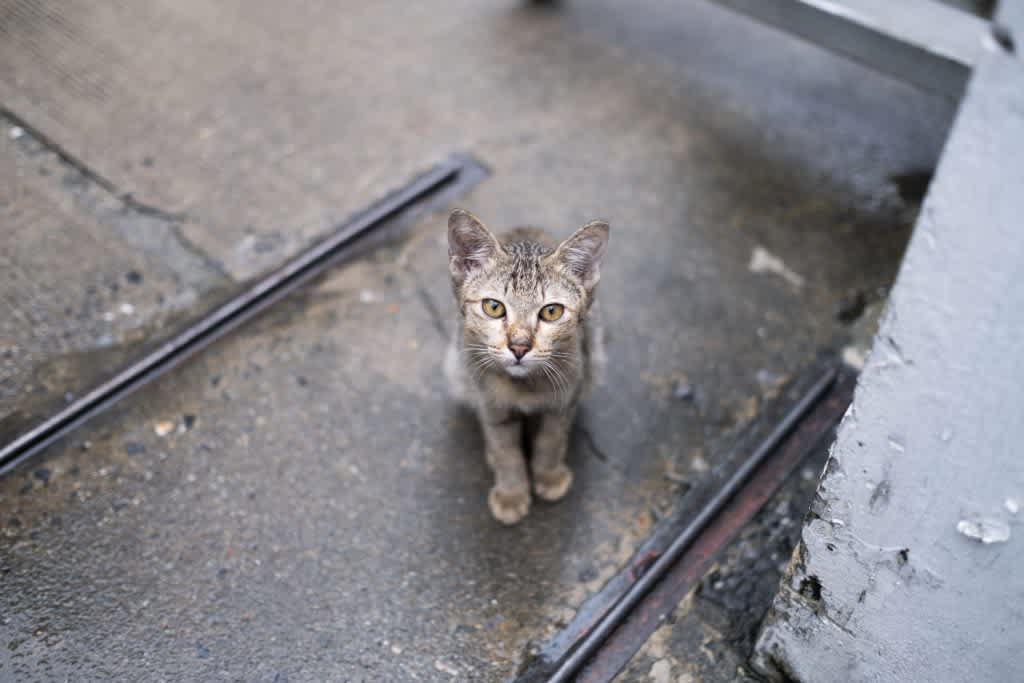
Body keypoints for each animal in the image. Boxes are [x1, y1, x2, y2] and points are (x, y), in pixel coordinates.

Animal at [442, 206, 602, 524]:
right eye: (493, 307)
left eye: (551, 312)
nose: (519, 346)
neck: (525, 386)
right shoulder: (490, 404)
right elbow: (506, 450)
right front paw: (511, 493)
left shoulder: (566, 398)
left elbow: (551, 440)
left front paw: (549, 475)